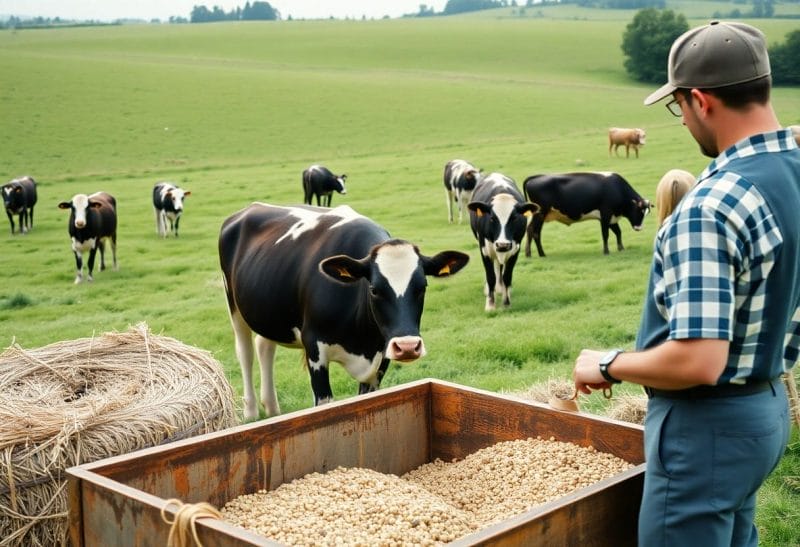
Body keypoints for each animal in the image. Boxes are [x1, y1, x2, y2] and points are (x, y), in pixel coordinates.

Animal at [219, 203, 469, 420]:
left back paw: (271, 407)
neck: (362, 341)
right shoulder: (315, 348)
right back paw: (251, 411)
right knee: (245, 352)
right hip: (234, 306)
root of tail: (251, 208)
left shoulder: (381, 357)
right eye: (374, 289)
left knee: (264, 345)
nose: (407, 347)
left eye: (422, 287)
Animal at [467, 173, 538, 311]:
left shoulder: (515, 249)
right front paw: (490, 304)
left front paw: (506, 302)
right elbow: (490, 276)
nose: (502, 244)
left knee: (500, 267)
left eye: (514, 217)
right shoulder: (484, 249)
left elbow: (507, 276)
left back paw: (501, 288)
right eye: (492, 218)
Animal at [522, 172, 651, 257]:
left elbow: (618, 232)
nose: (639, 228)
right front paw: (606, 251)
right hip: (540, 214)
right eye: (639, 211)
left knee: (530, 230)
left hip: (537, 216)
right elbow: (605, 234)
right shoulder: (605, 215)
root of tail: (536, 177)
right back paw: (541, 254)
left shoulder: (611, 218)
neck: (616, 189)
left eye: (646, 213)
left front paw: (621, 248)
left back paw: (529, 254)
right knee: (535, 232)